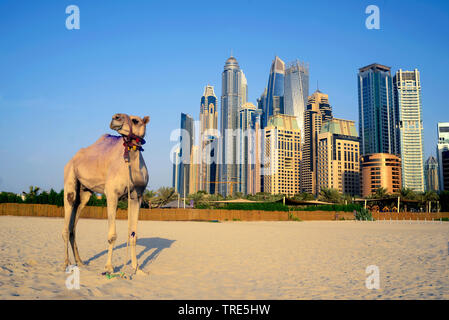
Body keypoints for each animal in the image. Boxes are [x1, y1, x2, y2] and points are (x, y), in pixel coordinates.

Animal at [62, 114, 150, 274]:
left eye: (136, 120)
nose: (116, 117)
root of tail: (71, 159)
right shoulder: (112, 193)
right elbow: (112, 235)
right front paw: (108, 268)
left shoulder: (137, 196)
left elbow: (133, 234)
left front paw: (137, 269)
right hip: (69, 178)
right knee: (66, 224)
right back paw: (66, 263)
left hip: (84, 193)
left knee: (73, 227)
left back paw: (80, 262)